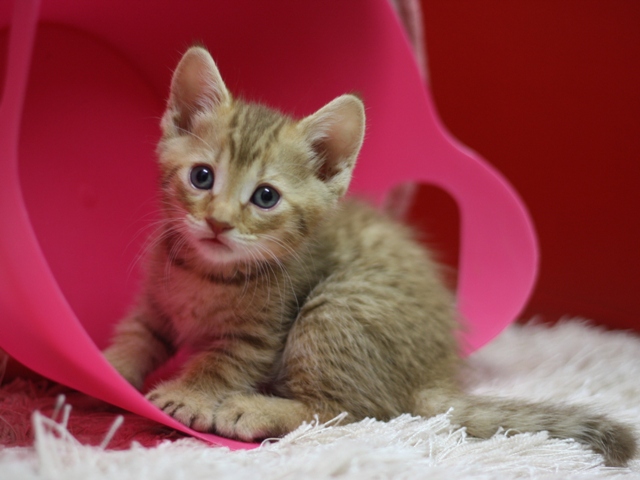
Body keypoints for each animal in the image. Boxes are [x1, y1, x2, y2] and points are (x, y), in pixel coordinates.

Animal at [104, 47, 636, 466]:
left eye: (265, 197)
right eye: (201, 177)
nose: (217, 223)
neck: (205, 274)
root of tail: (431, 374)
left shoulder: (257, 336)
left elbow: (220, 363)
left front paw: (187, 394)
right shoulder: (155, 303)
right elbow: (137, 334)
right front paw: (111, 367)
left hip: (335, 307)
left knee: (352, 412)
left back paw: (255, 409)